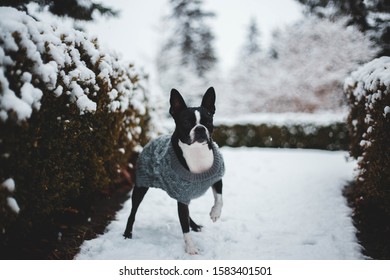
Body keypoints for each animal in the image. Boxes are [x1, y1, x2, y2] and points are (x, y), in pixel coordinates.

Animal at [123, 87, 224, 254]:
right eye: (186, 122)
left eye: (208, 122)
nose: (200, 128)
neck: (196, 151)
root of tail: (151, 141)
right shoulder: (182, 195)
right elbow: (184, 227)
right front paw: (191, 248)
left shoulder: (216, 177)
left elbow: (219, 199)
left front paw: (215, 213)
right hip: (140, 187)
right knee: (133, 212)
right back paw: (127, 233)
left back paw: (195, 225)